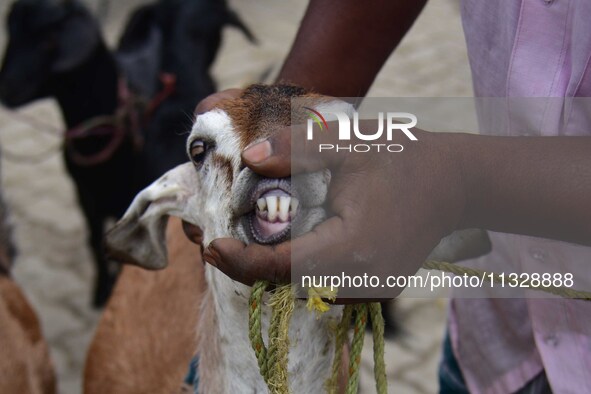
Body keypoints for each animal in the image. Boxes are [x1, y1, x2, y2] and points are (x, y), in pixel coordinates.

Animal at [0, 0, 254, 306]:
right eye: (11, 31)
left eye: (48, 38)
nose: (5, 89)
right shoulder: (85, 194)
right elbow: (94, 240)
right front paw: (101, 293)